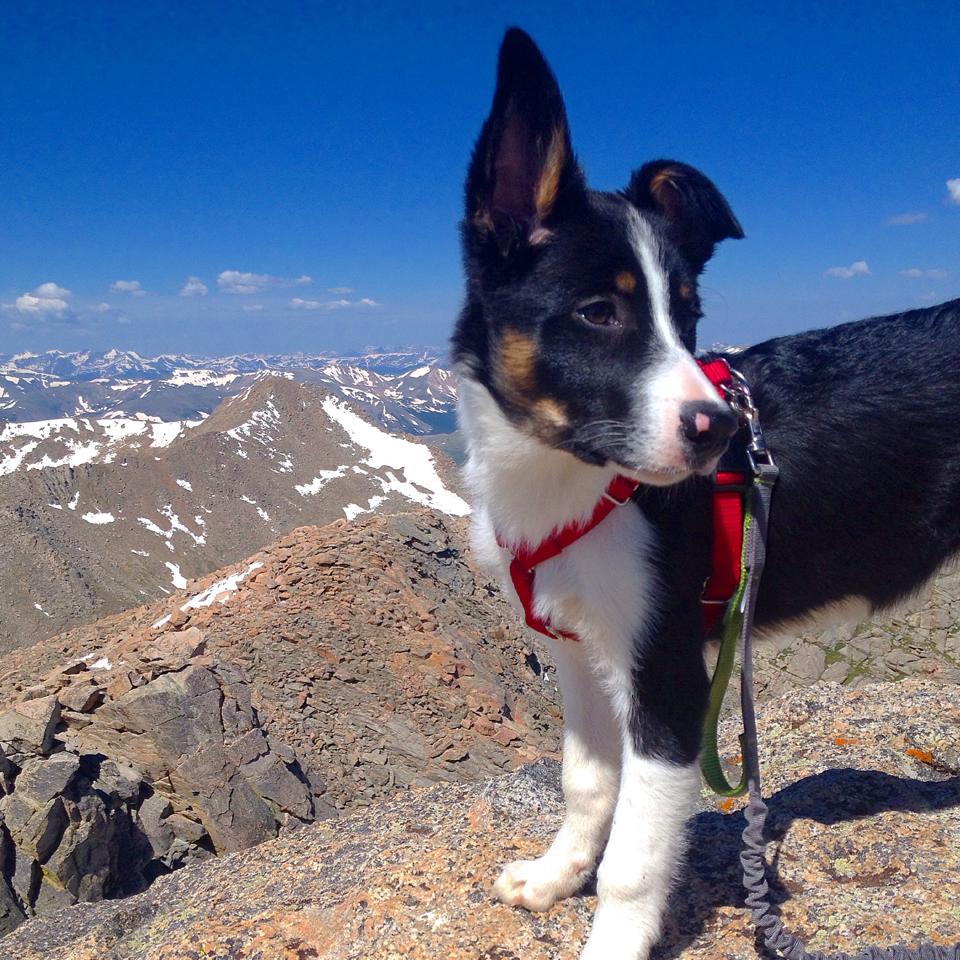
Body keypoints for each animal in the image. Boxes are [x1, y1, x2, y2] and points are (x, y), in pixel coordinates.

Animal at [452, 26, 960, 960]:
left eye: (688, 317)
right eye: (599, 313)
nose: (720, 429)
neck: (572, 481)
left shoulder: (668, 679)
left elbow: (634, 860)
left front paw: (610, 941)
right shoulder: (577, 647)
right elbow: (585, 784)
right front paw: (553, 877)